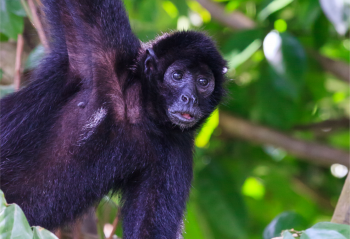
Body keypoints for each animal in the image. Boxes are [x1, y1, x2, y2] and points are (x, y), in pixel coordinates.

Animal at [0, 0, 227, 237]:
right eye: (177, 75)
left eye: (203, 82)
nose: (190, 98)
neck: (136, 112)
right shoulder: (105, 50)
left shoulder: (175, 152)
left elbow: (150, 229)